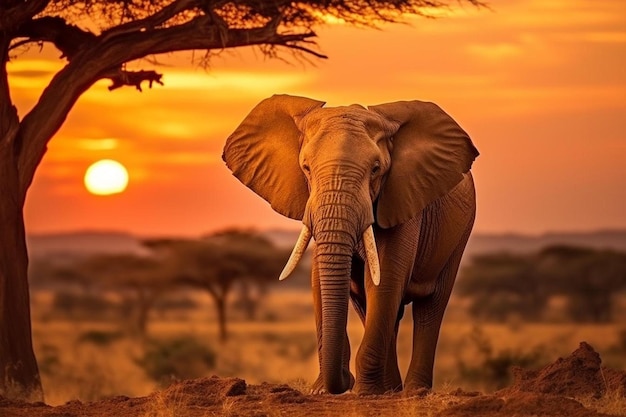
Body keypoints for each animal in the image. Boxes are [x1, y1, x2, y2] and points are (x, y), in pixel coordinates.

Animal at [222, 93, 476, 394]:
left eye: (376, 169)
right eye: (306, 168)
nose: (346, 378)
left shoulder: (403, 197)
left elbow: (386, 278)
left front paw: (364, 392)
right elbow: (323, 279)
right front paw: (324, 391)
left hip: (460, 232)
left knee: (431, 307)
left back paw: (414, 391)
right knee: (371, 307)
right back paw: (391, 389)